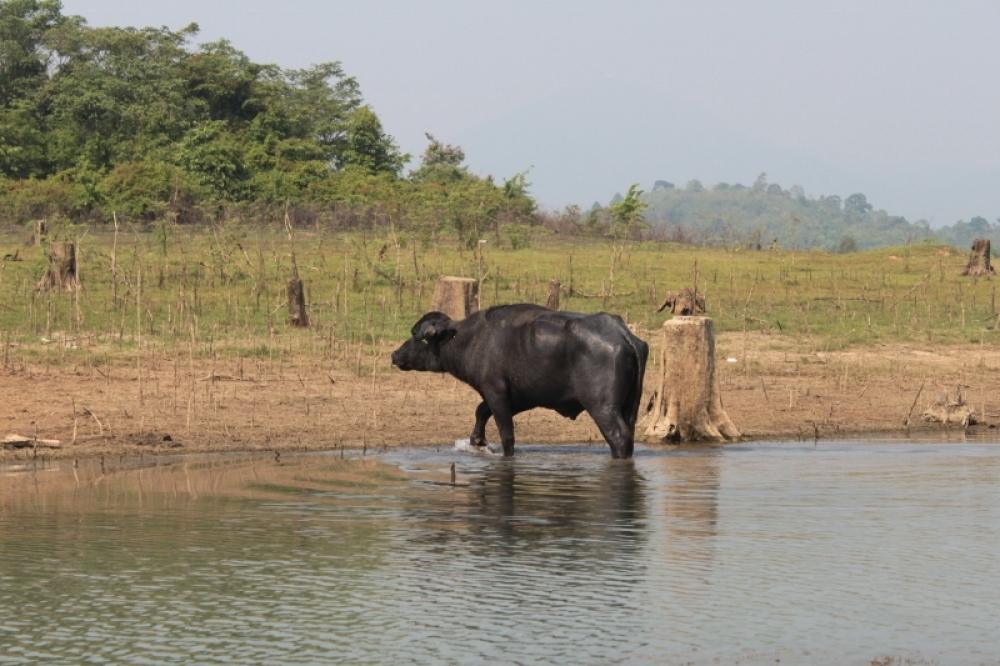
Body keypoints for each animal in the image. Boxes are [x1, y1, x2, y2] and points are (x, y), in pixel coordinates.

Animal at [390, 304, 648, 456]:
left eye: (419, 337)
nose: (395, 355)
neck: (471, 339)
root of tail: (621, 333)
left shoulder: (495, 392)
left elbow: (506, 434)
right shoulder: (520, 397)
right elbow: (481, 410)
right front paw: (477, 439)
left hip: (603, 407)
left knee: (619, 438)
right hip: (629, 408)